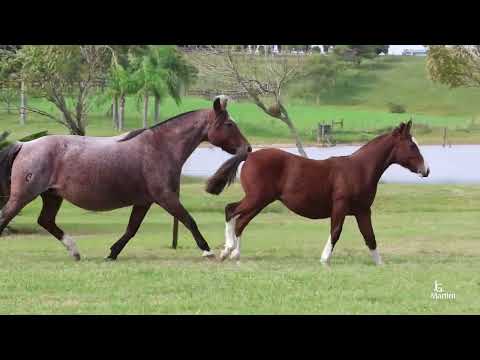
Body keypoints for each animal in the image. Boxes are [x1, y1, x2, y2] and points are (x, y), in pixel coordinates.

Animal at [0, 95, 249, 258]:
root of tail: (24, 145)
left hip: (52, 196)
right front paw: (207, 250)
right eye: (229, 124)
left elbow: (131, 229)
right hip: (24, 195)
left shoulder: (144, 202)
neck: (160, 147)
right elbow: (189, 220)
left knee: (46, 221)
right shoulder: (166, 198)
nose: (248, 148)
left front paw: (112, 253)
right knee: (7, 216)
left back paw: (75, 251)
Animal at [206, 121, 432, 264]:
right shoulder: (340, 206)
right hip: (256, 198)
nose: (426, 170)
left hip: (260, 201)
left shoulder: (362, 211)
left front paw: (380, 264)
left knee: (240, 221)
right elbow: (336, 231)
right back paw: (228, 250)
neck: (359, 169)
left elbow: (370, 237)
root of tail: (249, 156)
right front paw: (324, 260)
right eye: (412, 145)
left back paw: (233, 253)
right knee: (231, 211)